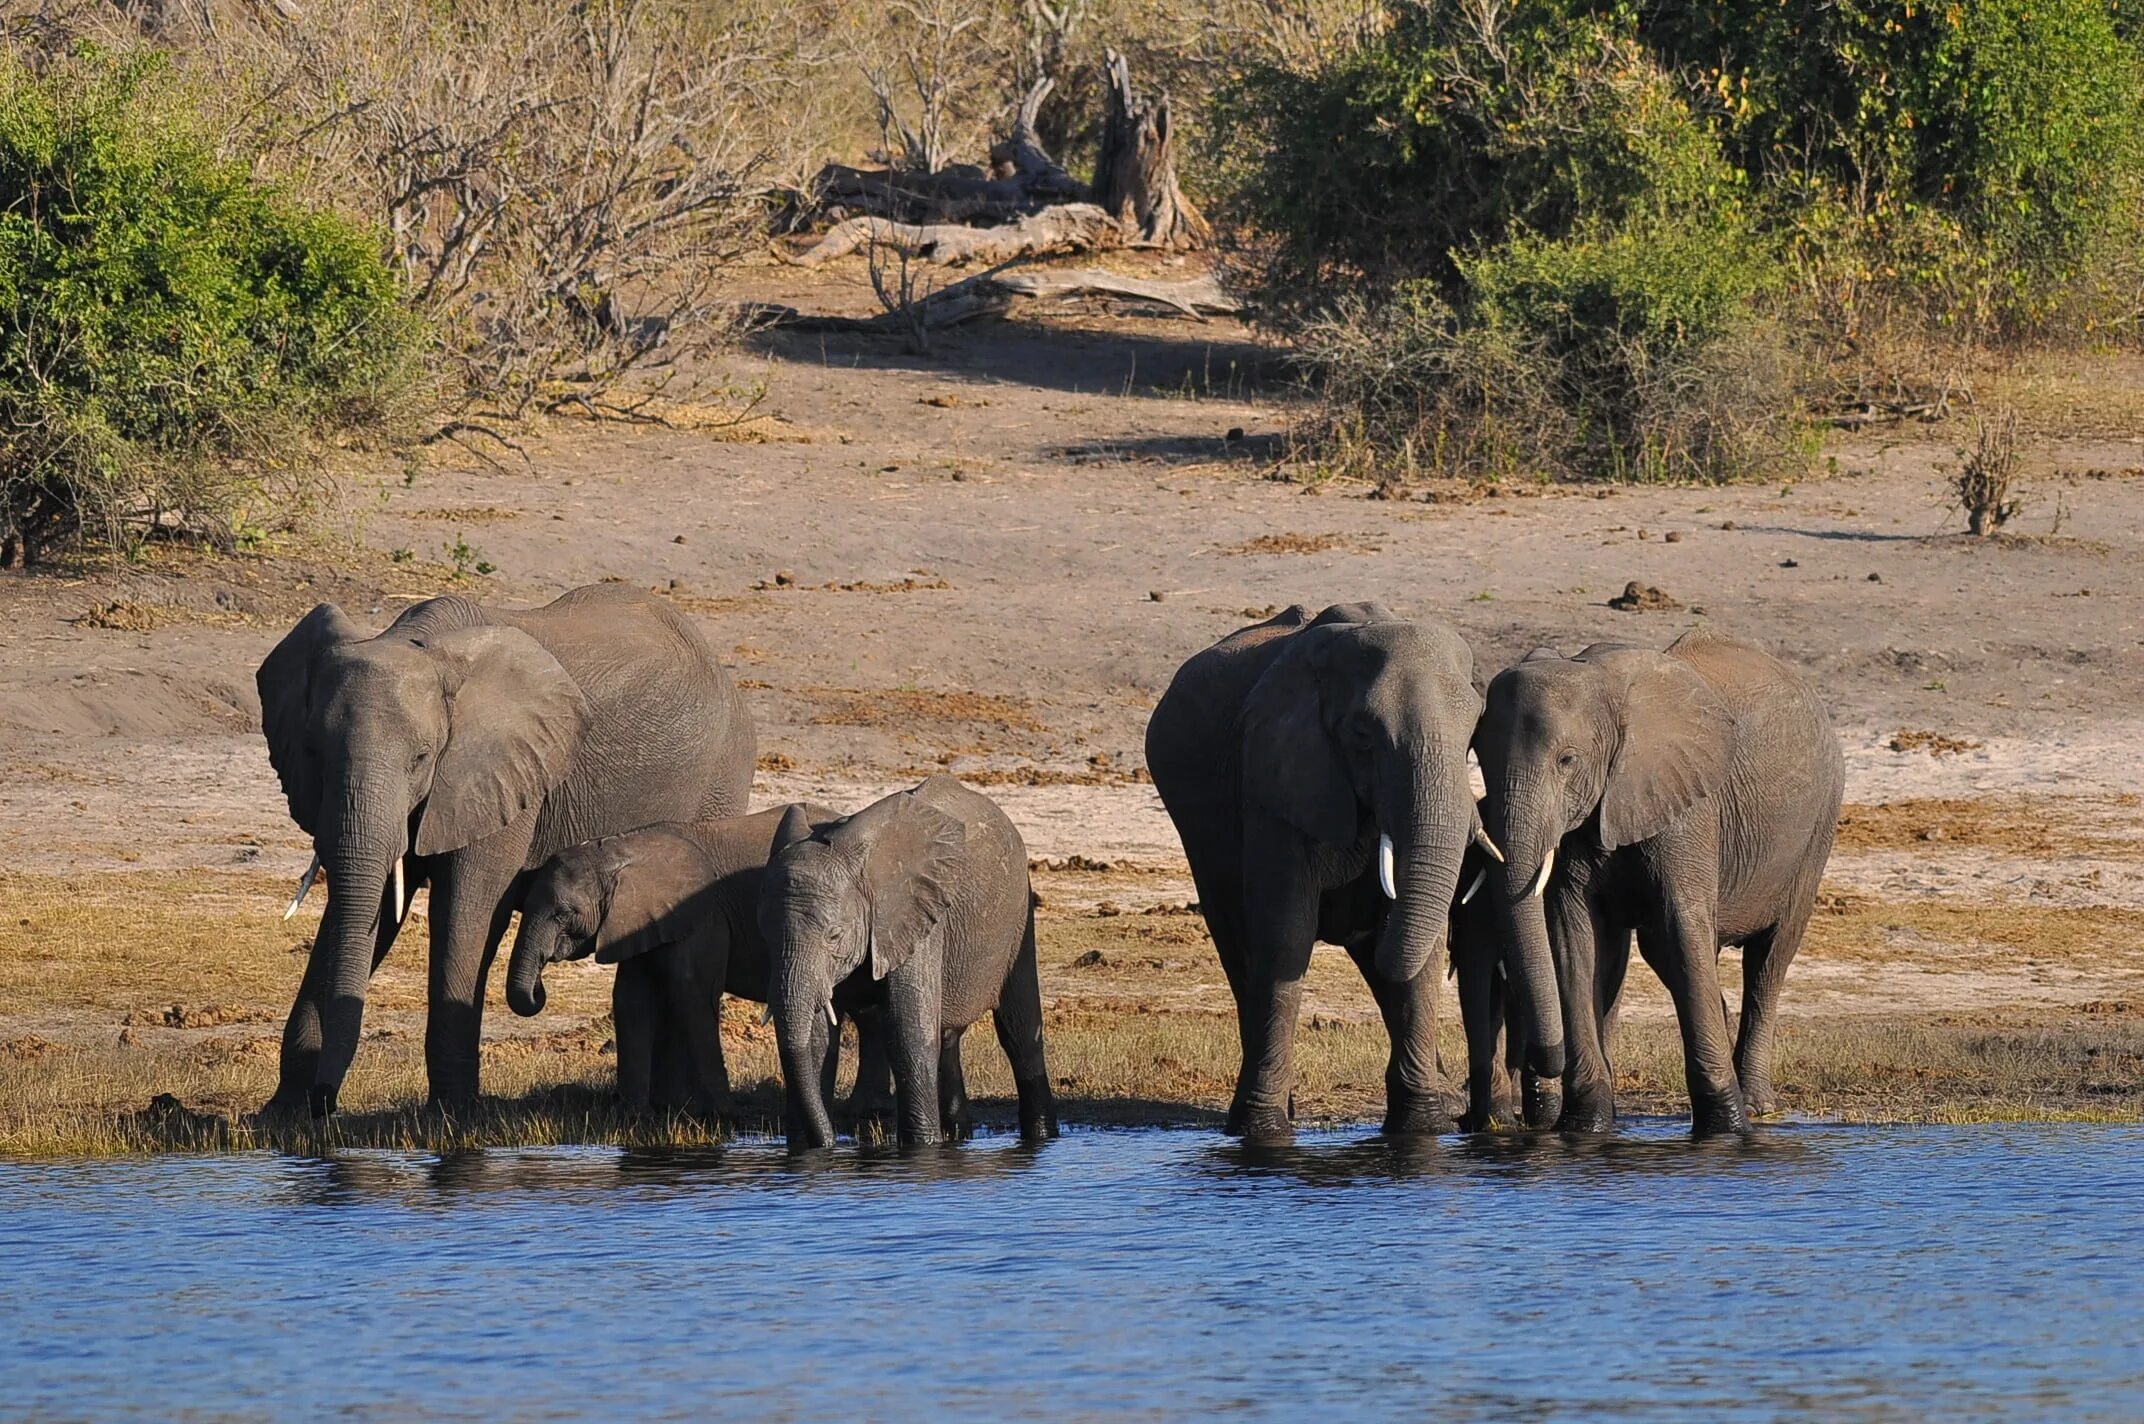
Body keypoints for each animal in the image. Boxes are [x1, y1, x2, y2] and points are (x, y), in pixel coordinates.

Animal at [257, 583, 754, 1115]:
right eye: (313, 752)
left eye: (421, 758)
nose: (325, 1102)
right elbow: (368, 907)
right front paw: (283, 1118)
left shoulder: (500, 779)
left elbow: (466, 910)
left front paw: (451, 1120)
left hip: (719, 783)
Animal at [505, 806, 891, 1132]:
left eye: (563, 913)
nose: (539, 990)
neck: (619, 849)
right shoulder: (638, 920)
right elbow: (632, 1000)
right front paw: (635, 1115)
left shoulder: (702, 916)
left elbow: (694, 995)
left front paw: (723, 1115)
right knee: (868, 1012)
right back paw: (866, 1109)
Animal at [758, 772, 1059, 1149]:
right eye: (765, 935)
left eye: (834, 935)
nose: (830, 1142)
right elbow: (816, 1043)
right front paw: (805, 1150)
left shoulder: (917, 915)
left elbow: (908, 1032)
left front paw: (921, 1147)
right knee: (947, 1036)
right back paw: (958, 1135)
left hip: (1017, 914)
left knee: (1018, 1031)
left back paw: (1042, 1137)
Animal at [1140, 604, 1543, 1140]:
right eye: (1362, 736)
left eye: (1472, 734)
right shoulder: (1274, 781)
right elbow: (1285, 934)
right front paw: (1263, 1130)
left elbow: (1416, 948)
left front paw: (1422, 1126)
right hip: (1200, 832)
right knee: (1238, 945)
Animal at [1475, 626, 1843, 1132]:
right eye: (1478, 757)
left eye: (1568, 760)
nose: (1538, 1063)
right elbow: (1574, 937)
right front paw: (1587, 1126)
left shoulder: (1689, 806)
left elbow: (1683, 924)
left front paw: (1726, 1128)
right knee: (1664, 953)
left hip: (1817, 829)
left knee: (1769, 957)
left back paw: (1756, 1105)